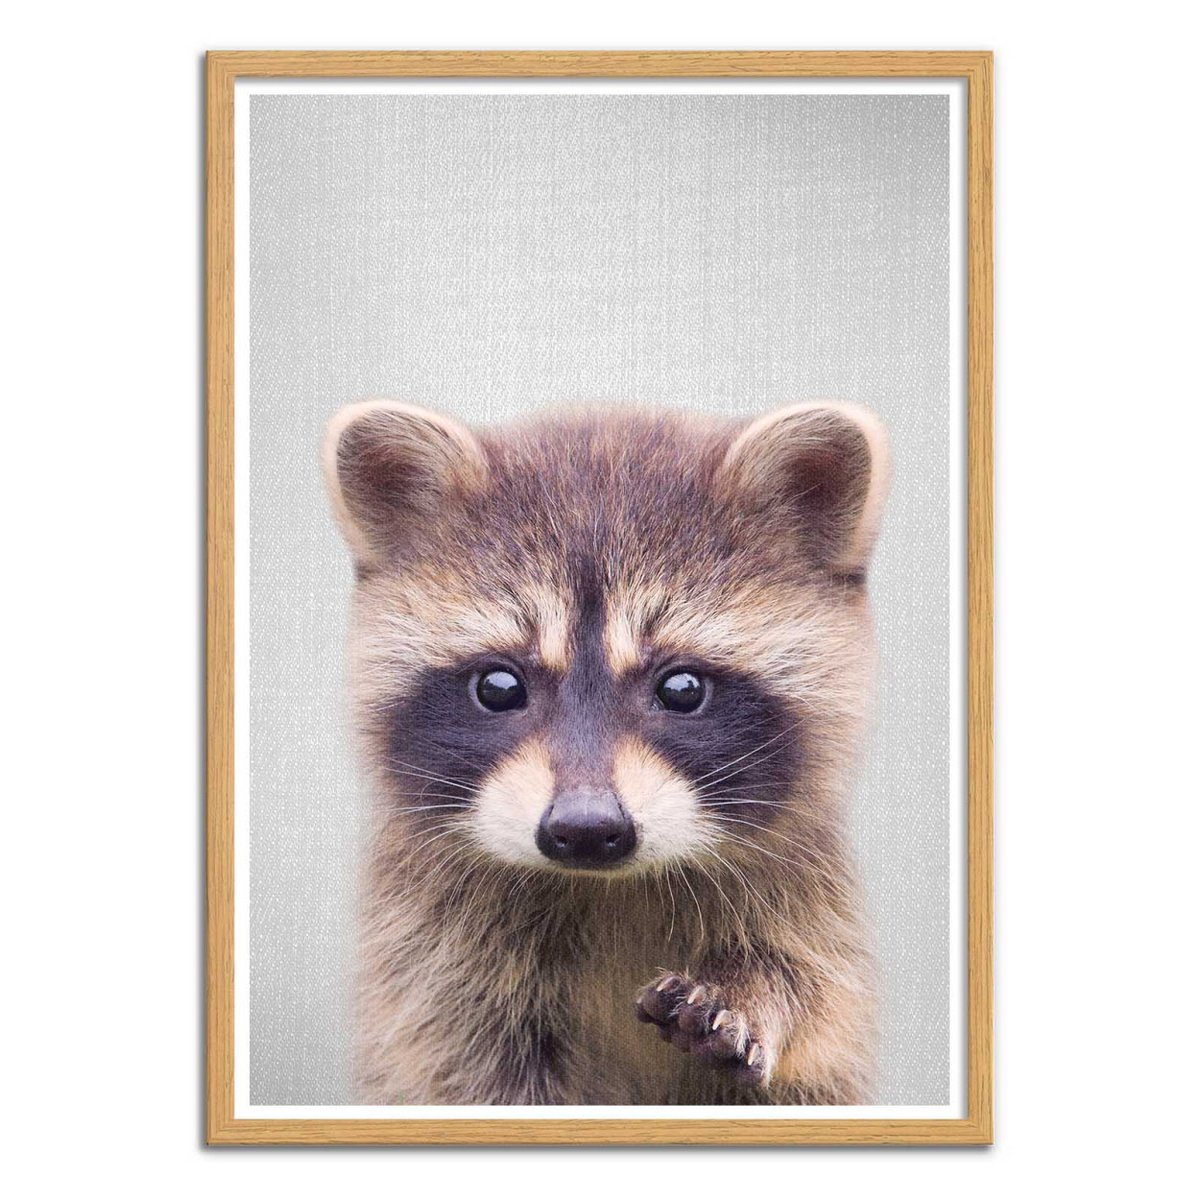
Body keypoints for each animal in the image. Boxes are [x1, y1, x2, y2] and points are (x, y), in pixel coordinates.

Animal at [323, 399, 889, 1106]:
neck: (607, 888)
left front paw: (755, 992)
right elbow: (457, 1066)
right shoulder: (431, 958)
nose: (586, 829)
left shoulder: (810, 900)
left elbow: (816, 993)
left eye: (682, 688)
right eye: (499, 686)